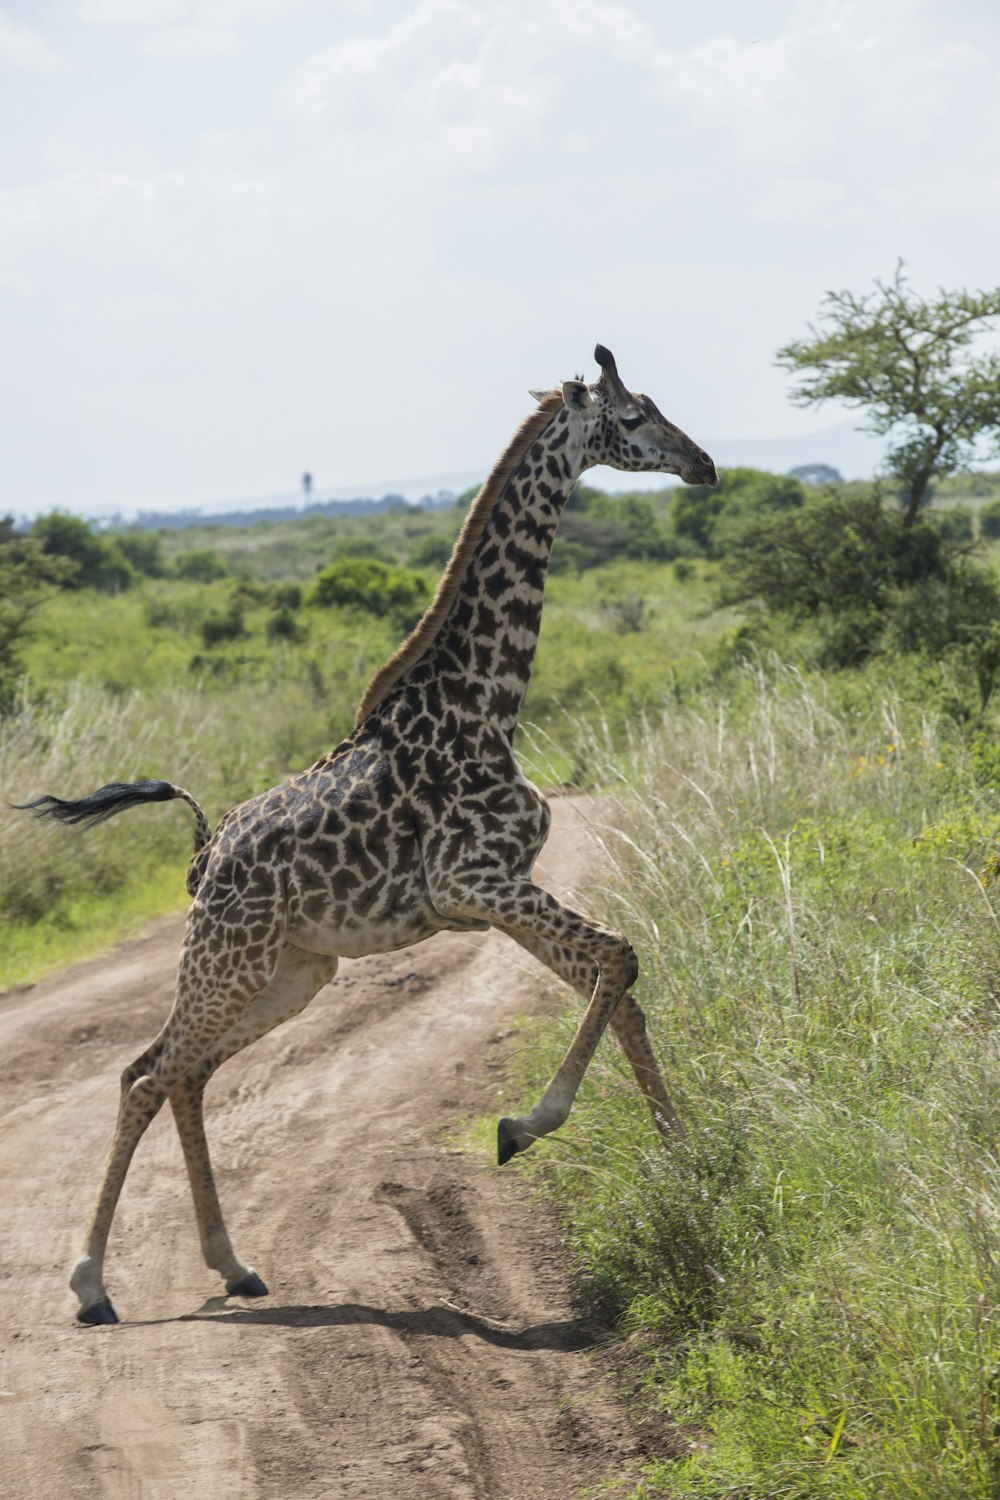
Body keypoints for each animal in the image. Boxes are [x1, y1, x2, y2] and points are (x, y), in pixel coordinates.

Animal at [23, 343, 719, 1326]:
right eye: (633, 418)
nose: (704, 464)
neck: (490, 704)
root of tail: (202, 854)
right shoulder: (474, 880)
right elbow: (621, 957)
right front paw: (522, 1129)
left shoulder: (495, 893)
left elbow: (616, 985)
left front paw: (688, 1165)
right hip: (230, 954)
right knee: (145, 1074)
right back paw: (91, 1285)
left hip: (294, 970)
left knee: (181, 1074)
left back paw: (233, 1267)